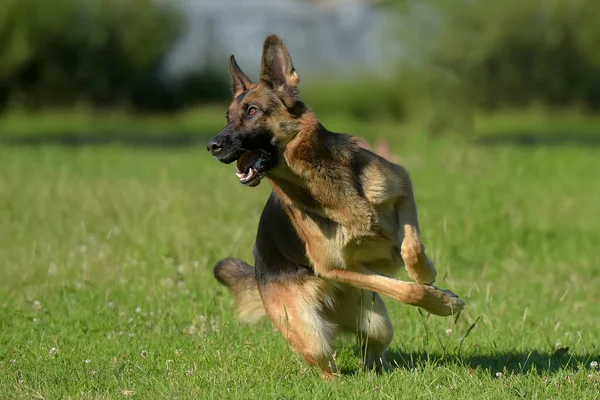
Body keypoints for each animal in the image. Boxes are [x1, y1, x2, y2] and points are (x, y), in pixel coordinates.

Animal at [209, 33, 466, 378]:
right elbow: (405, 289)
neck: (318, 178)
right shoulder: (335, 268)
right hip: (312, 337)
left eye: (251, 111)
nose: (212, 145)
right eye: (227, 117)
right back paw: (340, 380)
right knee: (327, 365)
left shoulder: (403, 187)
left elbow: (411, 248)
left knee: (373, 349)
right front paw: (441, 301)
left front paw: (428, 276)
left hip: (376, 323)